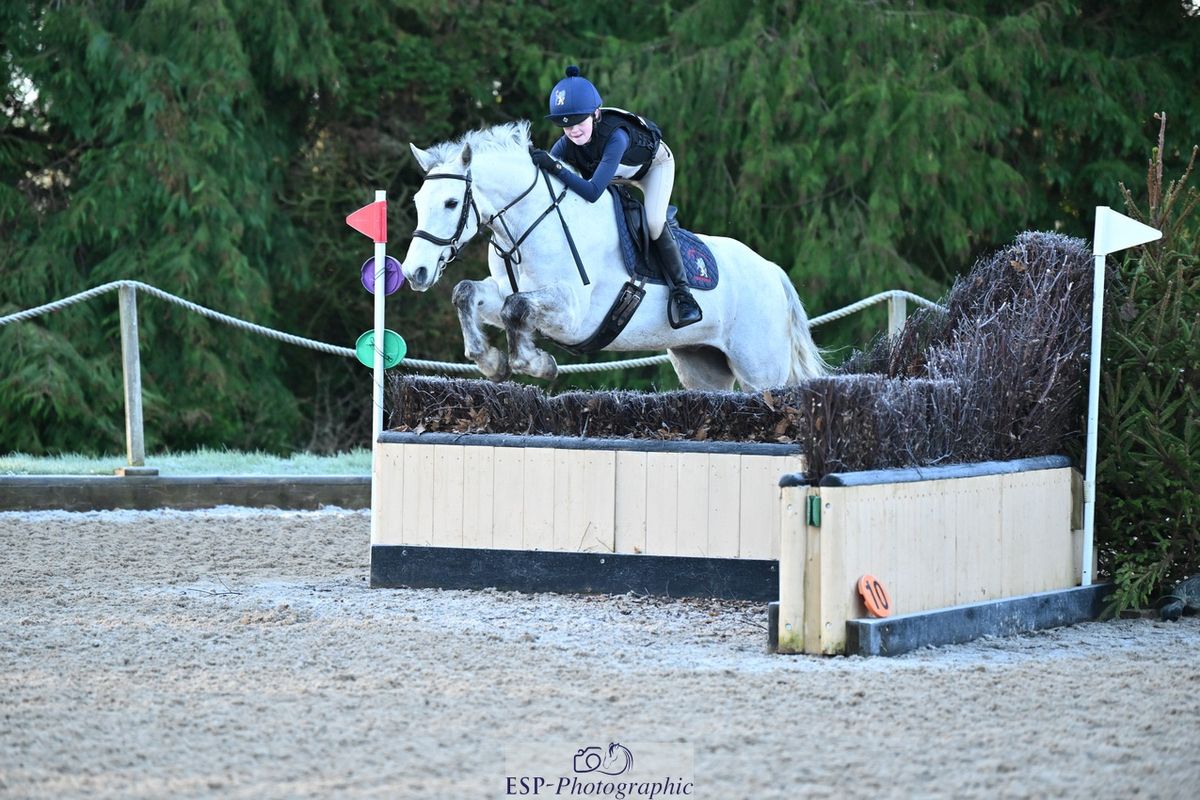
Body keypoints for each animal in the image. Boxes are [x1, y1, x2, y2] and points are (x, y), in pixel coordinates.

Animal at [403, 121, 825, 391]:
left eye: (451, 202)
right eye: (418, 201)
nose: (413, 272)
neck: (532, 223)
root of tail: (772, 271)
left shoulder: (574, 314)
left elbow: (516, 308)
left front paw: (536, 363)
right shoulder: (504, 291)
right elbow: (468, 292)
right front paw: (490, 362)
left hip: (761, 370)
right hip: (702, 367)